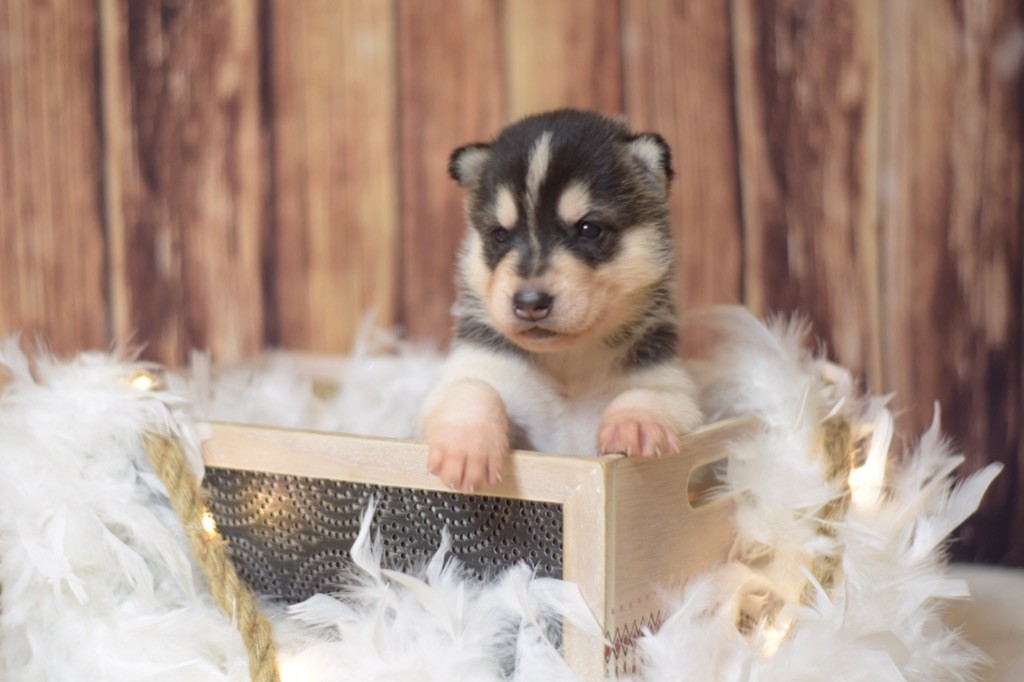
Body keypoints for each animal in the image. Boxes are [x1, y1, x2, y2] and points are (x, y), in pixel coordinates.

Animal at [419, 109, 703, 492]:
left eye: (588, 229)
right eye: (499, 235)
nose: (529, 302)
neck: (566, 363)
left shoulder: (675, 389)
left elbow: (648, 393)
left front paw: (636, 422)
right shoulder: (477, 372)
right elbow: (471, 388)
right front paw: (466, 447)